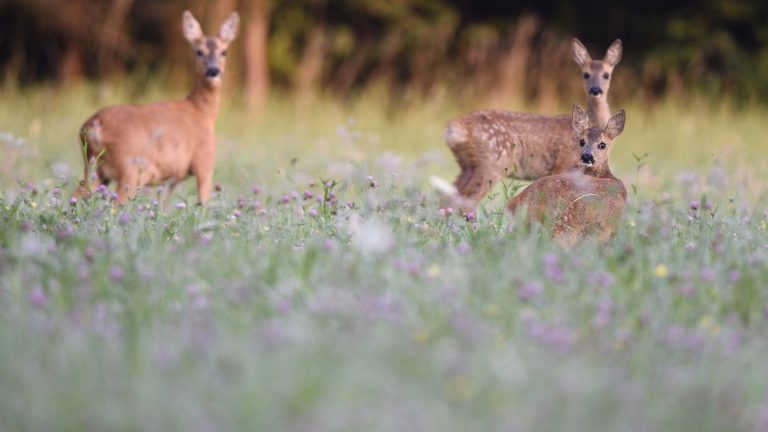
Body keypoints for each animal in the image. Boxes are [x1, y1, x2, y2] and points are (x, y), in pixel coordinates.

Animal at [73, 10, 240, 205]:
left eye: (224, 51)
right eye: (199, 52)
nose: (213, 71)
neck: (202, 111)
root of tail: (95, 125)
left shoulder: (172, 179)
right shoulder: (204, 161)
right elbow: (203, 203)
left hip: (93, 167)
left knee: (75, 196)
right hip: (130, 168)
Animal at [440, 38, 620, 211]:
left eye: (606, 75)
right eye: (586, 74)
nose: (596, 90)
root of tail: (455, 127)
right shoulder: (562, 165)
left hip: (466, 165)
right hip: (493, 163)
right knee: (464, 201)